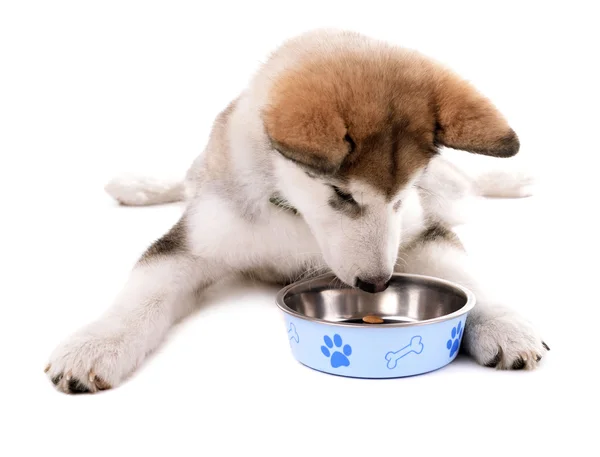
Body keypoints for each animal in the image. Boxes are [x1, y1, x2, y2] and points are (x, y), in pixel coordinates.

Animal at [47, 28, 548, 392]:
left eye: (402, 194)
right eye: (342, 194)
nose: (377, 283)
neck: (294, 214)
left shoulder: (421, 231)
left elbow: (469, 280)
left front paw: (506, 327)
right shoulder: (193, 242)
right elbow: (141, 296)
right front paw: (96, 343)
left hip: (448, 193)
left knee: (469, 186)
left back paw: (513, 180)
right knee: (186, 178)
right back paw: (136, 186)